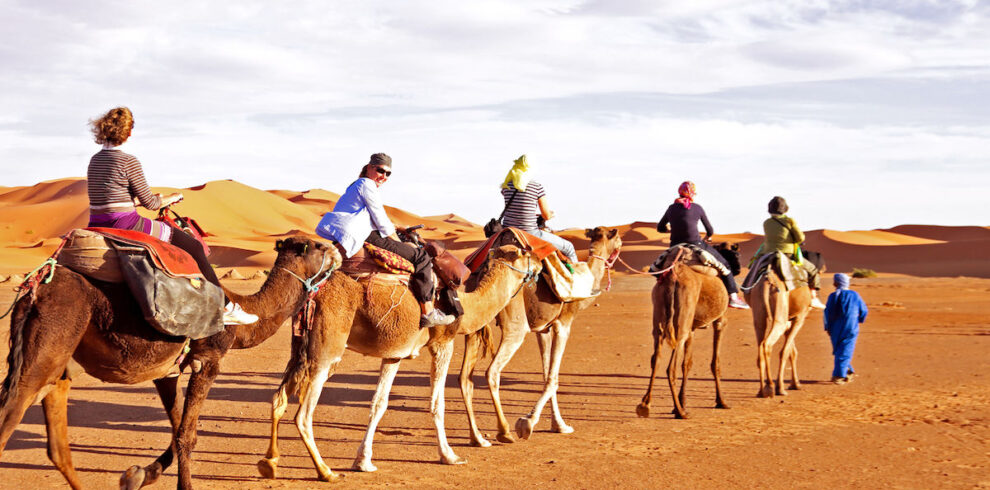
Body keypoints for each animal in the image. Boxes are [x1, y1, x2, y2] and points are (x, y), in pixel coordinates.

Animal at [0, 235, 338, 488]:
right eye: (318, 246)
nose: (337, 251)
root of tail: (35, 288)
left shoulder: (167, 370)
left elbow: (179, 431)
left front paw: (137, 475)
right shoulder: (208, 360)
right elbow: (186, 434)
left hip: (57, 363)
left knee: (57, 445)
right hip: (51, 339)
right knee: (11, 414)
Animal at [256, 243, 540, 480]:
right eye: (525, 253)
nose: (539, 261)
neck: (467, 305)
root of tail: (314, 292)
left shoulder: (394, 354)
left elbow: (379, 404)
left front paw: (363, 461)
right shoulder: (443, 342)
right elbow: (437, 403)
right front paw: (450, 455)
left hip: (300, 348)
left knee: (278, 399)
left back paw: (269, 462)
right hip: (326, 350)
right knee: (303, 414)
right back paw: (325, 471)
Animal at [458, 227, 620, 448]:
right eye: (617, 238)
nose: (620, 246)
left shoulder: (543, 329)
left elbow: (546, 373)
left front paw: (558, 425)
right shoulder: (563, 323)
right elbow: (553, 378)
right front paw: (527, 423)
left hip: (476, 321)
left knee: (465, 378)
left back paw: (478, 438)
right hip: (515, 323)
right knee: (492, 371)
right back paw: (504, 432)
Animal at [636, 243, 744, 420]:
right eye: (736, 254)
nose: (739, 268)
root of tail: (673, 275)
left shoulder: (692, 328)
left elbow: (687, 363)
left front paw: (682, 403)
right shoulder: (720, 321)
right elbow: (715, 363)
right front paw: (721, 402)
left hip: (661, 317)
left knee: (656, 358)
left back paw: (645, 406)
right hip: (681, 324)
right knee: (670, 368)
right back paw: (680, 413)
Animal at [744, 266, 812, 396]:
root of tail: (768, 279)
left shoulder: (789, 320)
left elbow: (792, 352)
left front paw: (795, 384)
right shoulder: (799, 317)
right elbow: (785, 352)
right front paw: (781, 388)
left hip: (759, 313)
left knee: (760, 346)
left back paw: (761, 391)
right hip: (779, 315)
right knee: (767, 344)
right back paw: (771, 387)